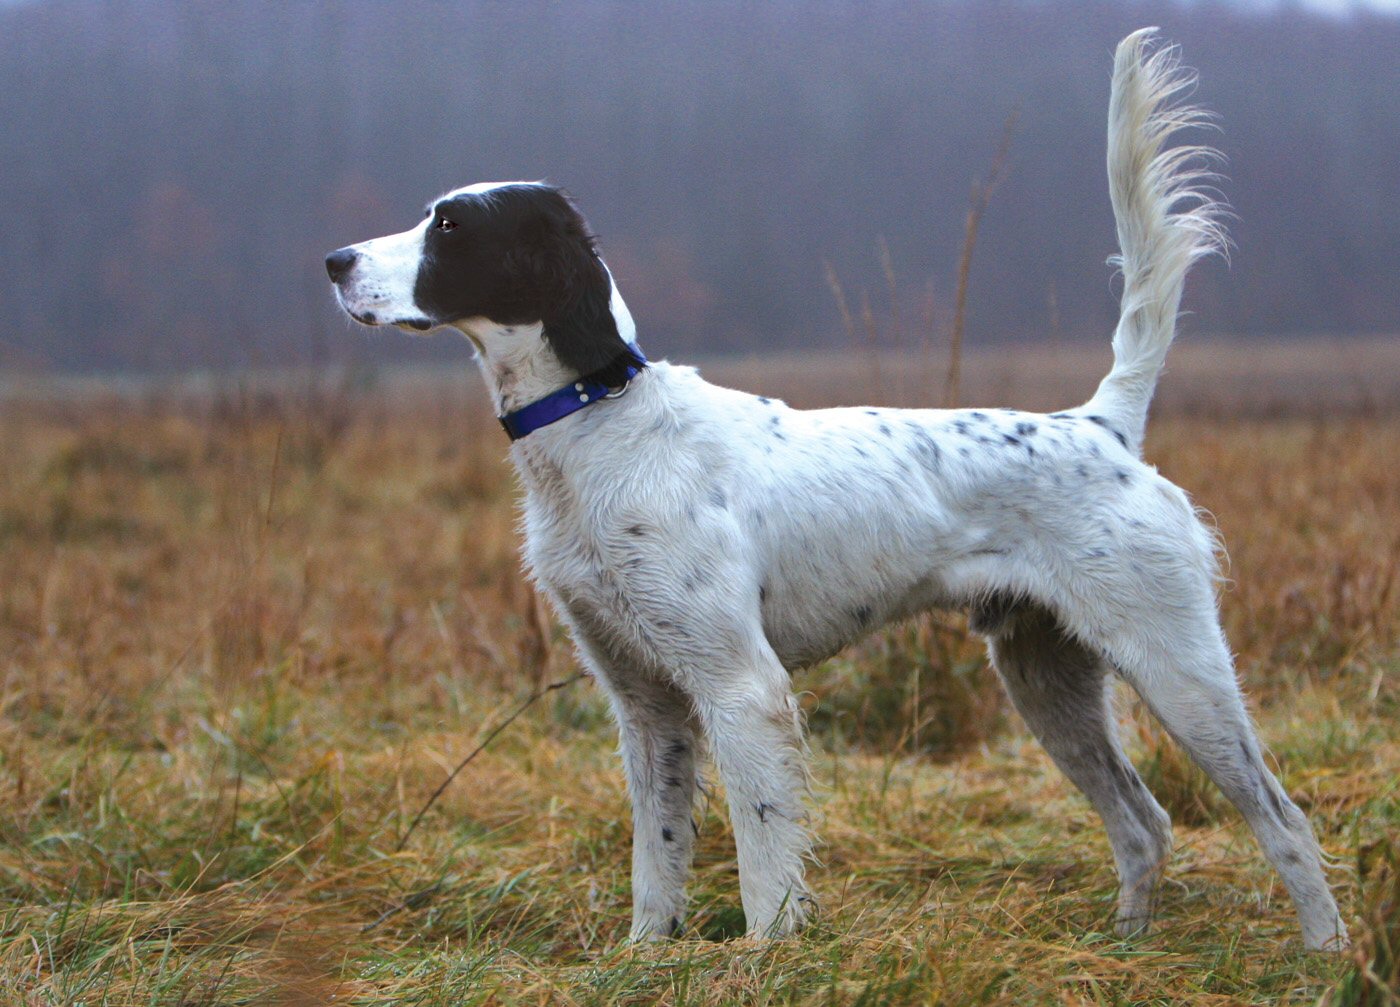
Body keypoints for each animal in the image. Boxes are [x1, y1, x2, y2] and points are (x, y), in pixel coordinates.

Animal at [324, 27, 1344, 946]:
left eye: (451, 225)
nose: (334, 260)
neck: (598, 427)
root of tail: (1098, 422)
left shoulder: (742, 687)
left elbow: (762, 860)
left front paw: (768, 959)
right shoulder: (645, 702)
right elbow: (657, 863)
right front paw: (645, 961)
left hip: (1178, 665)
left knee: (1285, 820)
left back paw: (1327, 952)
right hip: (1045, 674)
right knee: (1143, 821)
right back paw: (1125, 943)